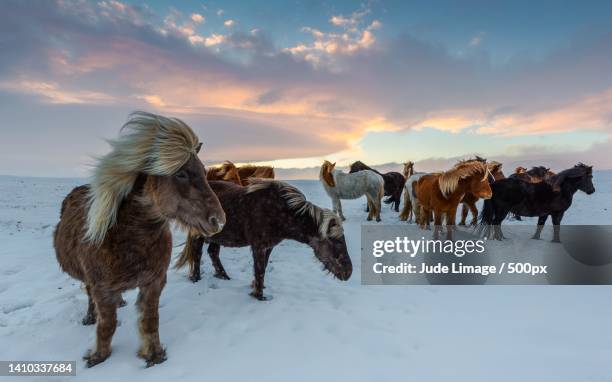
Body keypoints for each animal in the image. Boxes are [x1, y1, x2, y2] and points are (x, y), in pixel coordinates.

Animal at [52, 111, 225, 368]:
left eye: (205, 172)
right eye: (181, 173)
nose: (219, 221)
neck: (130, 240)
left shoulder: (153, 283)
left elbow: (150, 321)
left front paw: (154, 355)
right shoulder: (102, 289)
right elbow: (107, 325)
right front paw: (97, 357)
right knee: (90, 297)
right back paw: (90, 317)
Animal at [175, 179, 352, 302]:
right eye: (335, 241)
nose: (348, 273)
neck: (280, 212)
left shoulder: (268, 247)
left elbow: (263, 267)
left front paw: (256, 287)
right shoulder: (258, 247)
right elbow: (260, 269)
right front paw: (259, 296)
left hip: (218, 237)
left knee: (213, 252)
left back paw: (224, 277)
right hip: (199, 236)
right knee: (197, 255)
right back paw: (196, 279)